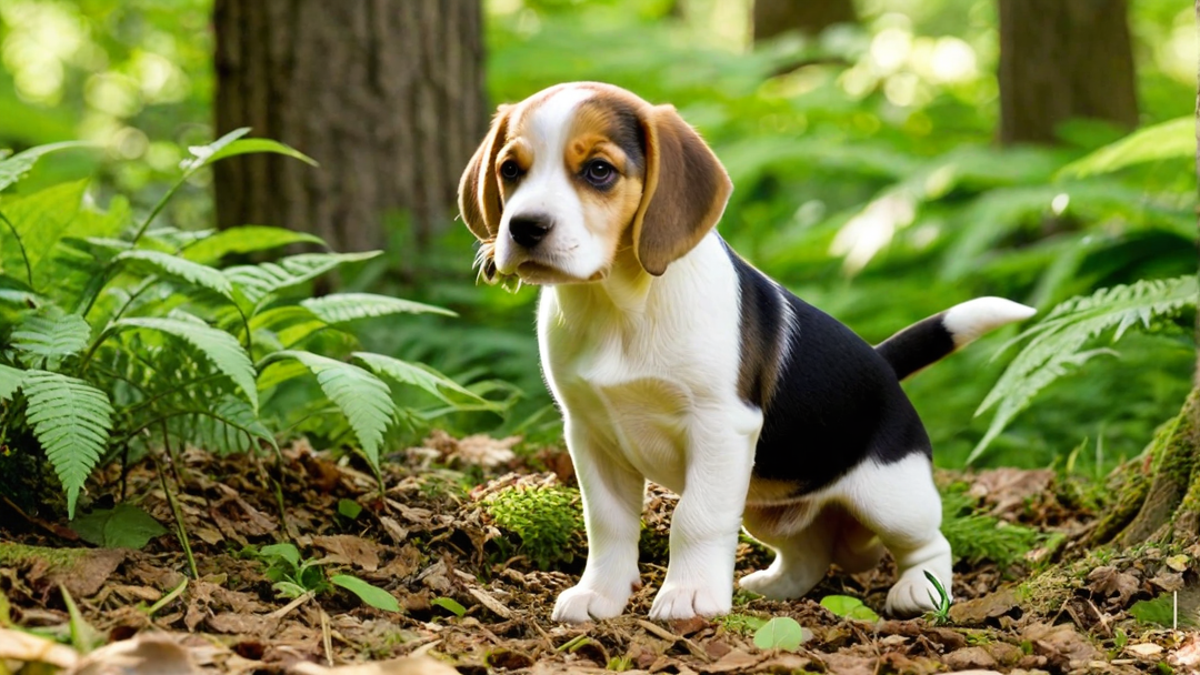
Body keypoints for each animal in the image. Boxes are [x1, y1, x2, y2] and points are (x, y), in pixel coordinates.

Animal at [453, 79, 1036, 619]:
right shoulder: (591, 433)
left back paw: (920, 590)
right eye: (510, 170)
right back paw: (771, 587)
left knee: (929, 542)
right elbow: (608, 524)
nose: (524, 228)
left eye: (599, 170)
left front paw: (689, 597)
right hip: (766, 504)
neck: (619, 305)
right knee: (808, 551)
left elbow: (695, 518)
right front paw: (599, 596)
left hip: (892, 494)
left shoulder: (720, 425)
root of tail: (883, 364)